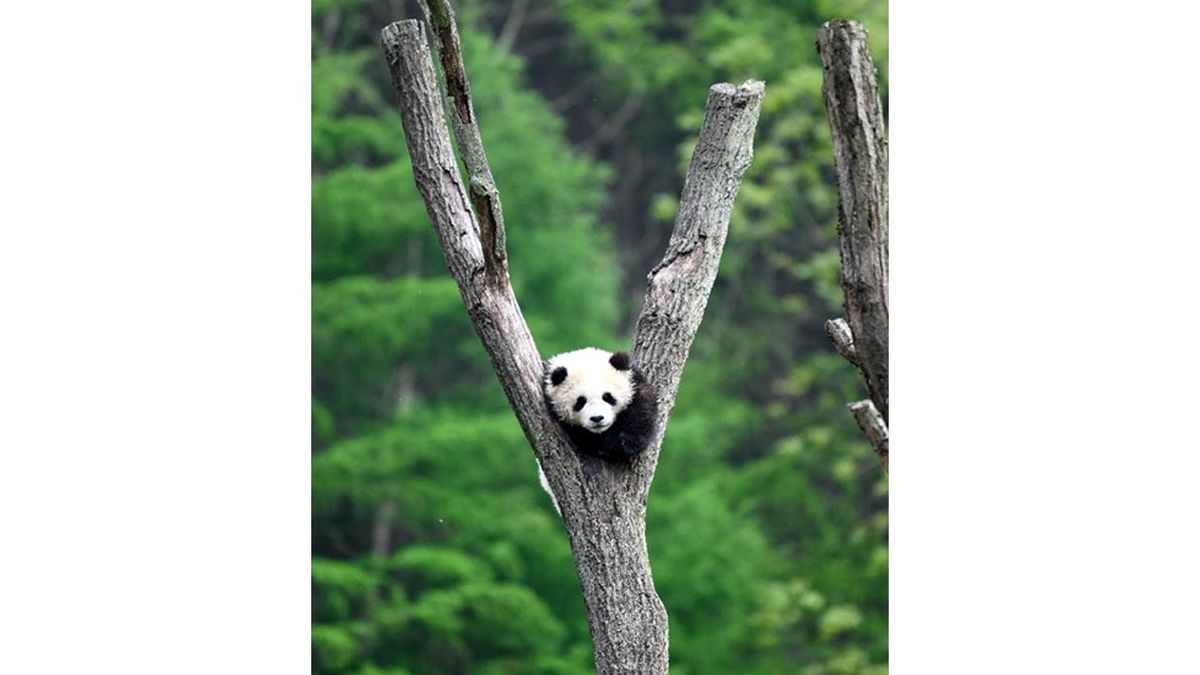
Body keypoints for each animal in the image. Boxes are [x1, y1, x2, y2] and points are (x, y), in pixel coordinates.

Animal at [536, 347, 658, 513]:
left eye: (607, 397)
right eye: (580, 402)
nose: (597, 418)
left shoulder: (635, 382)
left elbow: (642, 408)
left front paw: (629, 442)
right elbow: (591, 440)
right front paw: (611, 444)